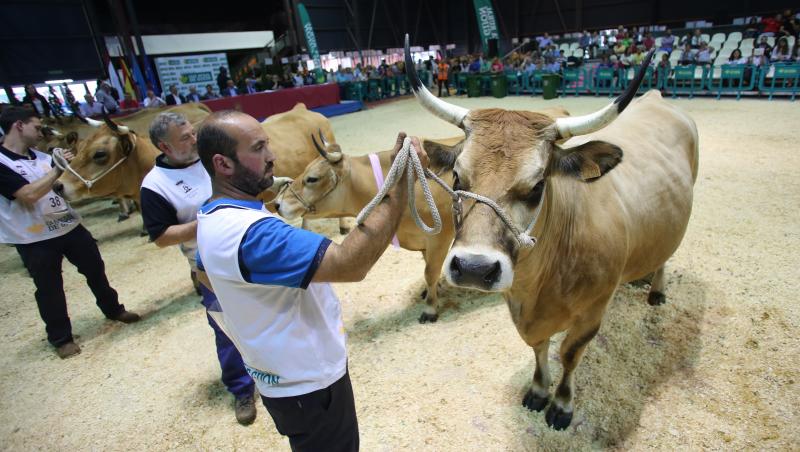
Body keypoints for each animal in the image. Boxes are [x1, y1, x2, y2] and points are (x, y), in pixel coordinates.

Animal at [404, 33, 696, 430]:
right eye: (457, 178)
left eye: (538, 186)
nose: (475, 268)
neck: (541, 282)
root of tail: (655, 97)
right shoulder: (522, 312)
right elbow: (539, 347)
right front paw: (539, 390)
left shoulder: (592, 313)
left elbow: (570, 353)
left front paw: (561, 404)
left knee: (667, 255)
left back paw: (657, 291)